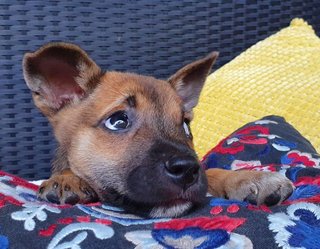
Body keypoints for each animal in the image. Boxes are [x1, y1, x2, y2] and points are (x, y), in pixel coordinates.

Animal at [21, 43, 294, 218]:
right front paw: (67, 178)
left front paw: (250, 178)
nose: (187, 170)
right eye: (118, 121)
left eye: (185, 125)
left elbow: (211, 171)